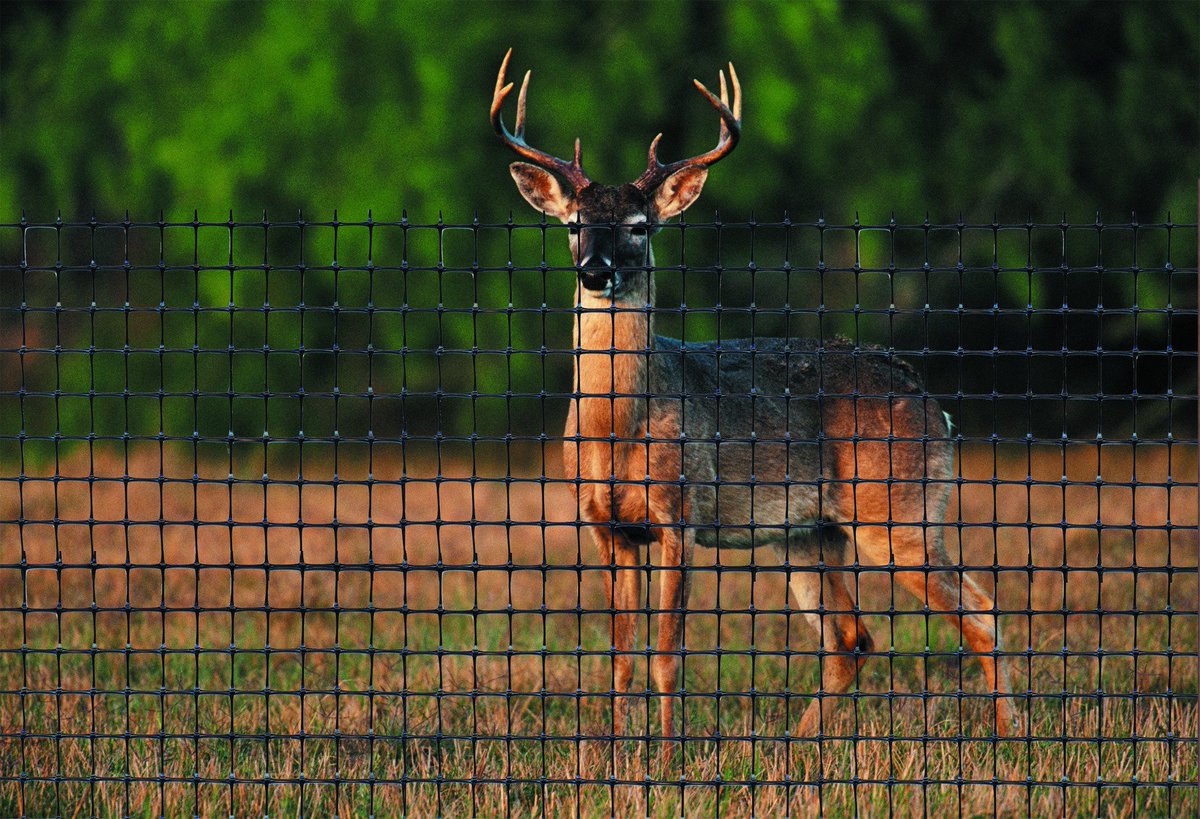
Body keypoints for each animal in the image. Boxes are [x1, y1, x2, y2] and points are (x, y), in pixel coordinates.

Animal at [490, 49, 1021, 741]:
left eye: (640, 226)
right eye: (575, 224)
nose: (595, 271)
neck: (619, 426)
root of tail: (935, 404)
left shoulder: (680, 514)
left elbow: (666, 655)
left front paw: (666, 757)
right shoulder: (606, 527)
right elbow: (620, 659)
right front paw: (612, 753)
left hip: (900, 513)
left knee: (980, 613)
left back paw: (1011, 739)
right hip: (806, 534)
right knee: (852, 638)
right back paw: (794, 748)